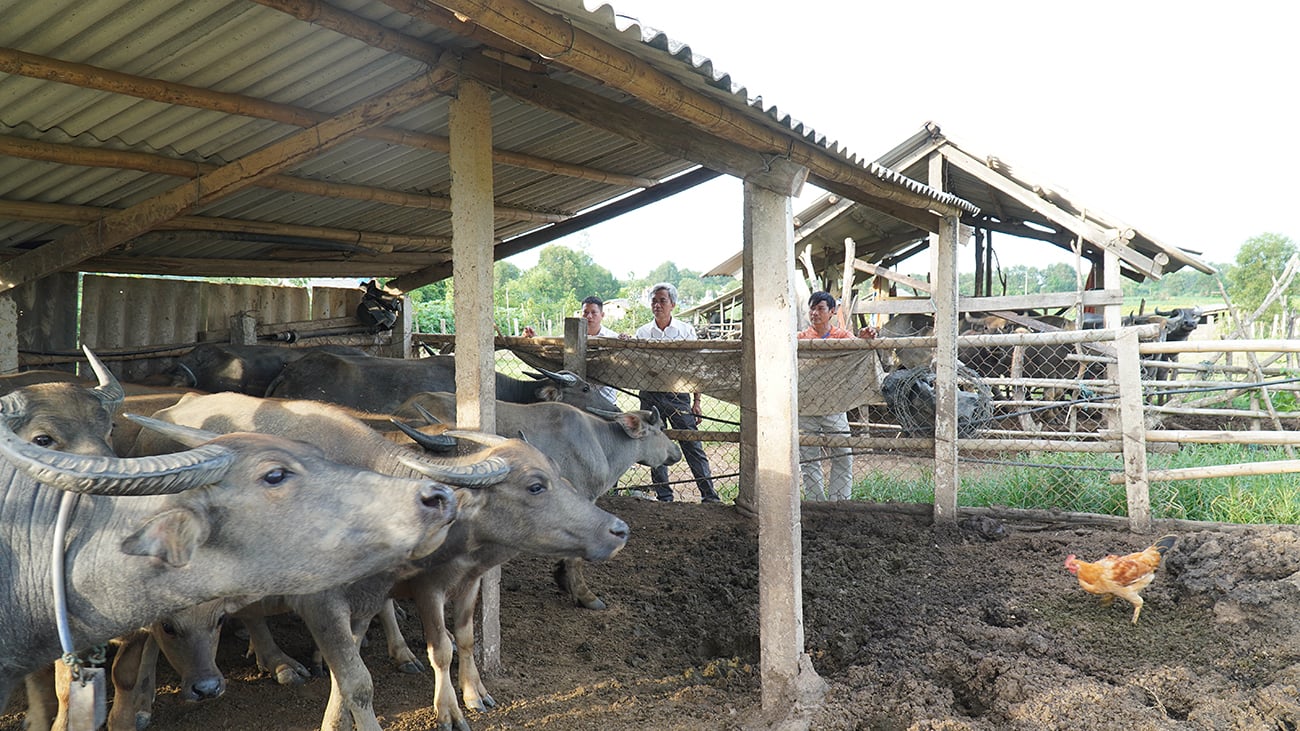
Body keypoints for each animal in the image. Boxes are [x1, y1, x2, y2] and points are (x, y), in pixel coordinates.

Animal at [128, 392, 629, 728]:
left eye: (562, 477)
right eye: (535, 485)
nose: (618, 530)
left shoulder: (399, 592)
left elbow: (363, 672)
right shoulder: (344, 600)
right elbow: (393, 667)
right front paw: (448, 710)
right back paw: (276, 662)